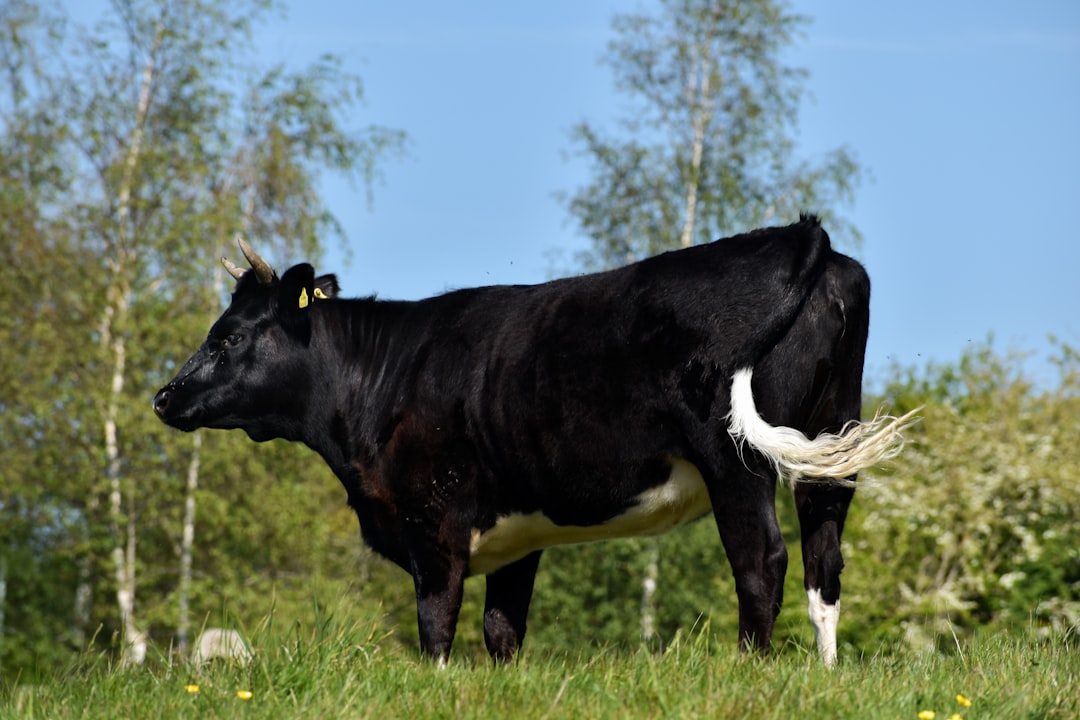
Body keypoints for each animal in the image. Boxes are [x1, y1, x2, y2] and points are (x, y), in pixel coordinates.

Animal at [152, 216, 911, 669]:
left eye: (230, 339)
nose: (163, 396)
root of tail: (797, 235)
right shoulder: (517, 528)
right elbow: (501, 628)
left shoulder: (434, 518)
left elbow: (437, 619)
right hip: (830, 435)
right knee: (823, 557)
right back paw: (823, 672)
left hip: (734, 456)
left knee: (762, 561)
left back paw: (749, 665)